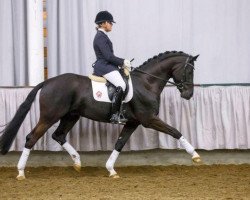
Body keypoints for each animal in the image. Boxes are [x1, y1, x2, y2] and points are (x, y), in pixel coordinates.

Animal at [0, 50, 199, 179]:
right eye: (189, 71)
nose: (188, 95)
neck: (147, 83)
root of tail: (48, 81)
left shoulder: (133, 122)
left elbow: (119, 143)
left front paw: (111, 170)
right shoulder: (149, 119)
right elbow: (175, 131)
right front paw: (195, 155)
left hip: (71, 116)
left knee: (58, 135)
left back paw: (77, 162)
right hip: (50, 116)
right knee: (31, 137)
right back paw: (20, 172)